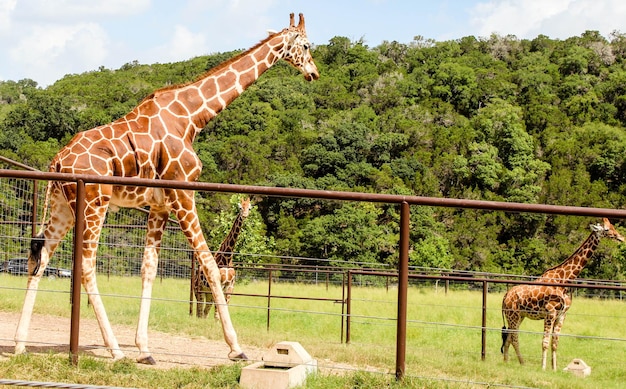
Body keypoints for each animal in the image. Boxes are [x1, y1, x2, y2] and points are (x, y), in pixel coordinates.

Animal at [14, 12, 316, 364]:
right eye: (306, 45)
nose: (314, 72)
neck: (192, 117)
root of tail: (57, 161)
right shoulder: (183, 191)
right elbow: (209, 265)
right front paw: (236, 348)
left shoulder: (159, 204)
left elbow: (149, 269)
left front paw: (144, 349)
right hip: (94, 202)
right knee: (86, 266)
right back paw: (115, 350)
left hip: (63, 206)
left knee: (39, 257)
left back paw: (20, 344)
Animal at [500, 218, 620, 370]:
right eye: (606, 229)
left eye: (613, 227)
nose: (620, 237)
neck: (565, 280)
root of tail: (505, 296)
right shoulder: (550, 313)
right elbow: (545, 341)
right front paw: (543, 368)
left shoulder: (562, 315)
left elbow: (555, 343)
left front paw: (554, 369)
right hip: (513, 315)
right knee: (515, 338)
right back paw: (522, 363)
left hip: (519, 316)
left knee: (509, 337)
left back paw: (506, 361)